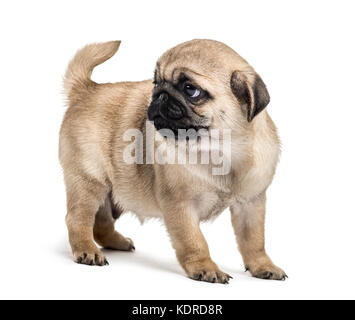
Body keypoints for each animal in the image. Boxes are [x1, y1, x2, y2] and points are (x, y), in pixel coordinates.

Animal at [59, 40, 288, 282]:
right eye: (156, 82)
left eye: (191, 90)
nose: (159, 94)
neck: (221, 150)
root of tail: (85, 89)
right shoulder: (181, 206)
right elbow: (195, 242)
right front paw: (205, 267)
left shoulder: (251, 205)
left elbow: (254, 241)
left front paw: (263, 265)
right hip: (89, 182)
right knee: (78, 219)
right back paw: (87, 250)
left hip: (111, 190)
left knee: (101, 223)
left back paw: (116, 242)